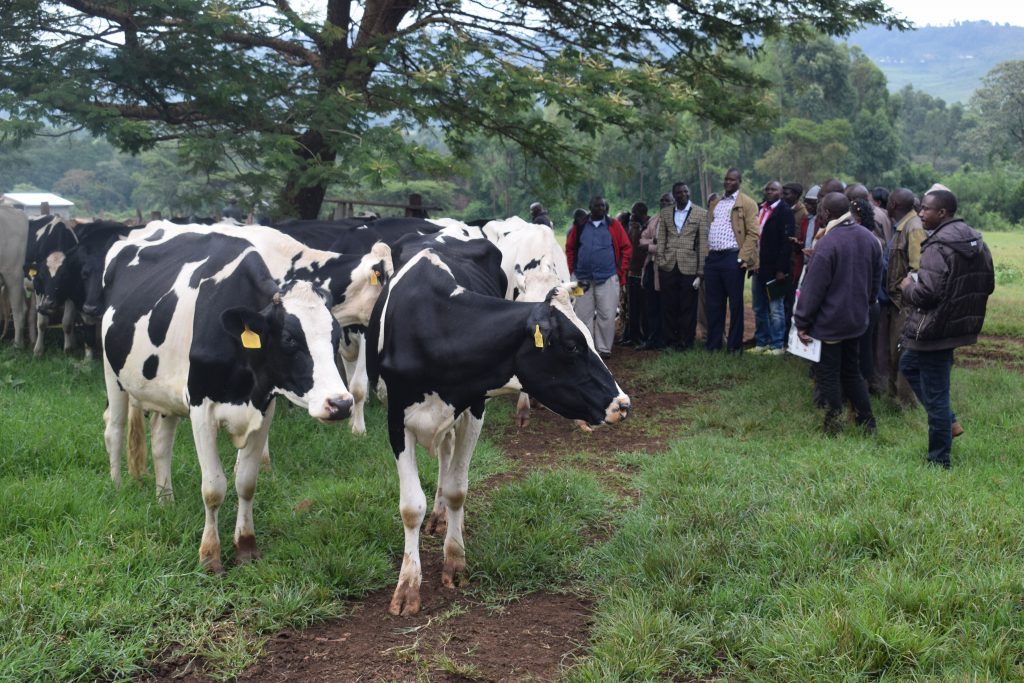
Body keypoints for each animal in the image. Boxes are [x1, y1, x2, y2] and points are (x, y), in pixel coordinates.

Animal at [101, 225, 366, 573]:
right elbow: (214, 487)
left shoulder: (265, 406)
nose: (341, 404)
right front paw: (210, 556)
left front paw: (246, 546)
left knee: (160, 442)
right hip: (112, 373)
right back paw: (118, 487)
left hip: (164, 393)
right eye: (289, 338)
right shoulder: (201, 408)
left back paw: (165, 500)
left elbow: (246, 482)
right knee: (115, 429)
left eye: (336, 336)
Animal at [364, 239, 626, 614]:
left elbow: (458, 489)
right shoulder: (396, 419)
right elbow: (411, 506)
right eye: (572, 346)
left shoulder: (474, 406)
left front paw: (454, 560)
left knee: (447, 458)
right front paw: (408, 586)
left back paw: (447, 517)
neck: (435, 326)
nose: (622, 404)